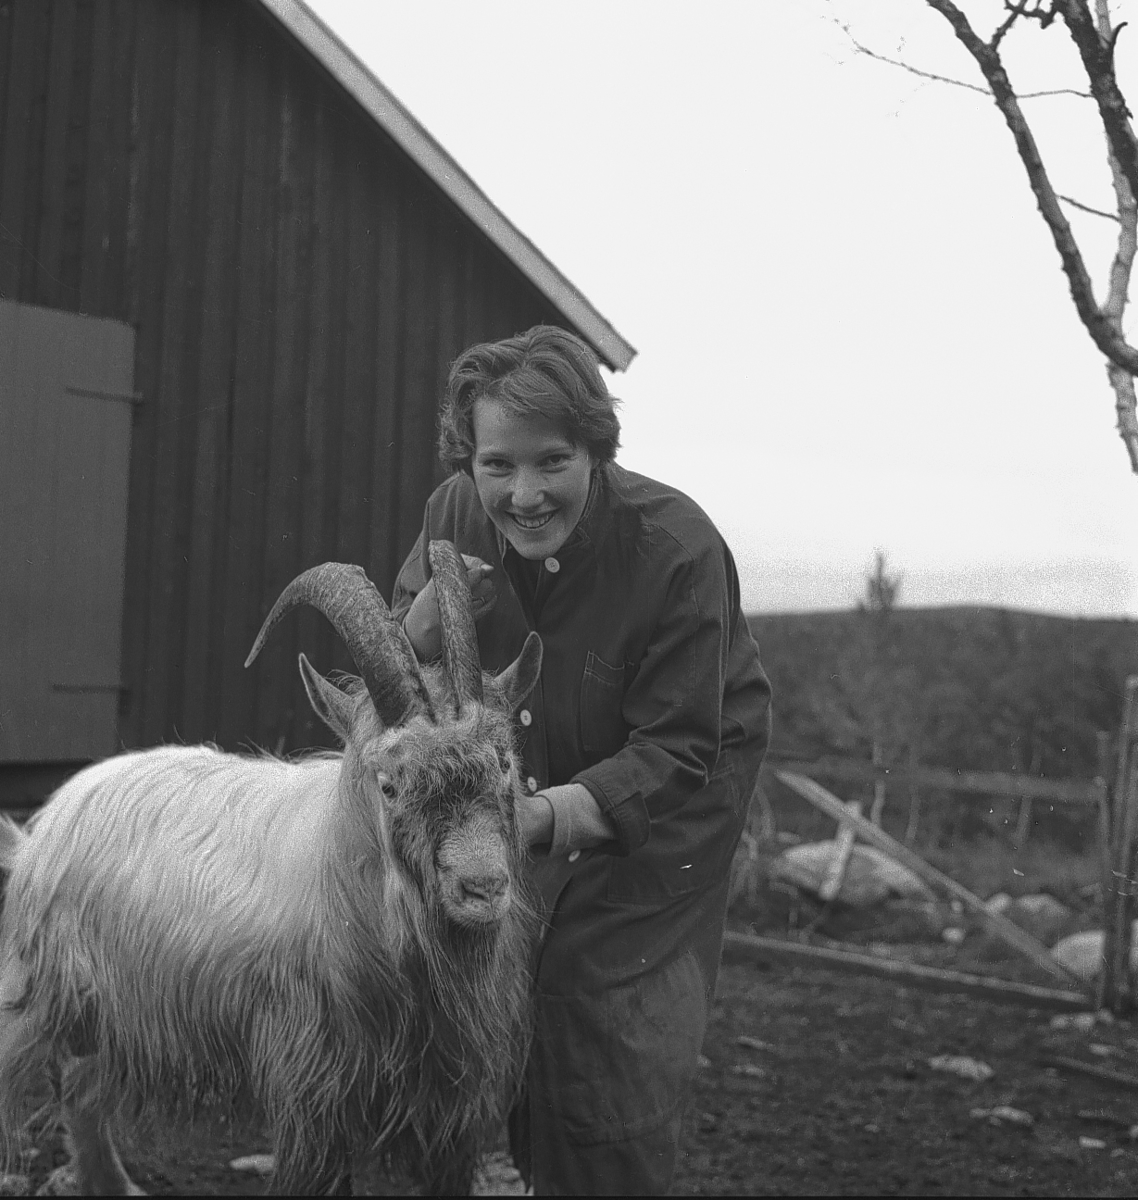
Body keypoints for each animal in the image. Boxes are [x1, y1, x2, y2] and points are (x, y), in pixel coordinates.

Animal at [0, 542, 544, 1190]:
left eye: (505, 763)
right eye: (388, 783)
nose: (482, 888)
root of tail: (51, 817)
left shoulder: (452, 1119)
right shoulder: (311, 1094)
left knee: (83, 1093)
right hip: (37, 989)